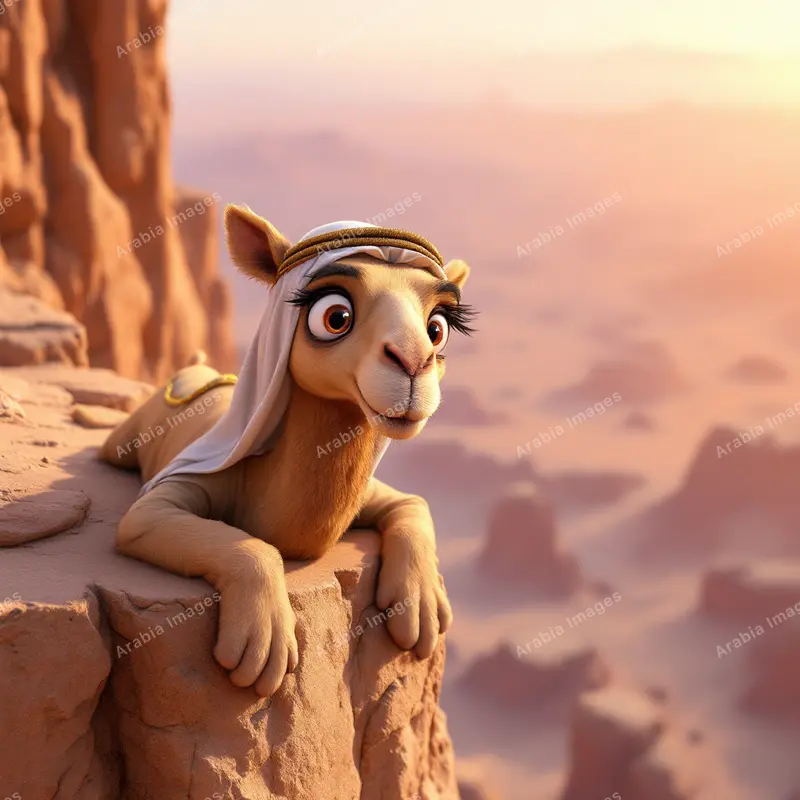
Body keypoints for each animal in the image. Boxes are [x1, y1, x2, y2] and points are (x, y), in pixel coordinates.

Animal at [100, 205, 475, 698]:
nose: (413, 362)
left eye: (438, 328)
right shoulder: (162, 502)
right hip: (125, 439)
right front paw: (261, 643)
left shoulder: (376, 494)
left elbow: (416, 504)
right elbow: (248, 545)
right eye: (335, 316)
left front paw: (422, 603)